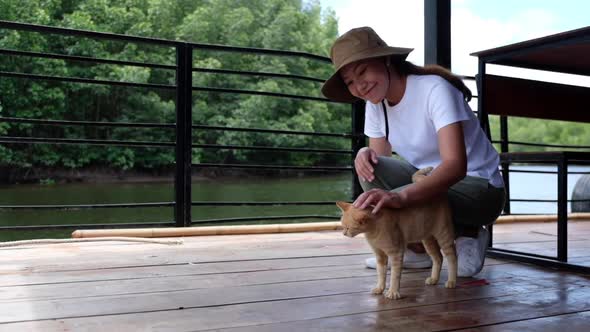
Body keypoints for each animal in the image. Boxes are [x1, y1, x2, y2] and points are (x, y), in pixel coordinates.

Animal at [338, 167, 458, 300]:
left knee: (452, 257)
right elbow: (381, 274)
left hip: (444, 235)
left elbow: (395, 276)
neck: (373, 231)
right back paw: (434, 279)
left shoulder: (396, 253)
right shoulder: (380, 255)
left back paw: (452, 281)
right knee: (438, 257)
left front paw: (393, 292)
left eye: (348, 228)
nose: (343, 233)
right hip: (428, 240)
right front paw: (380, 288)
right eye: (342, 226)